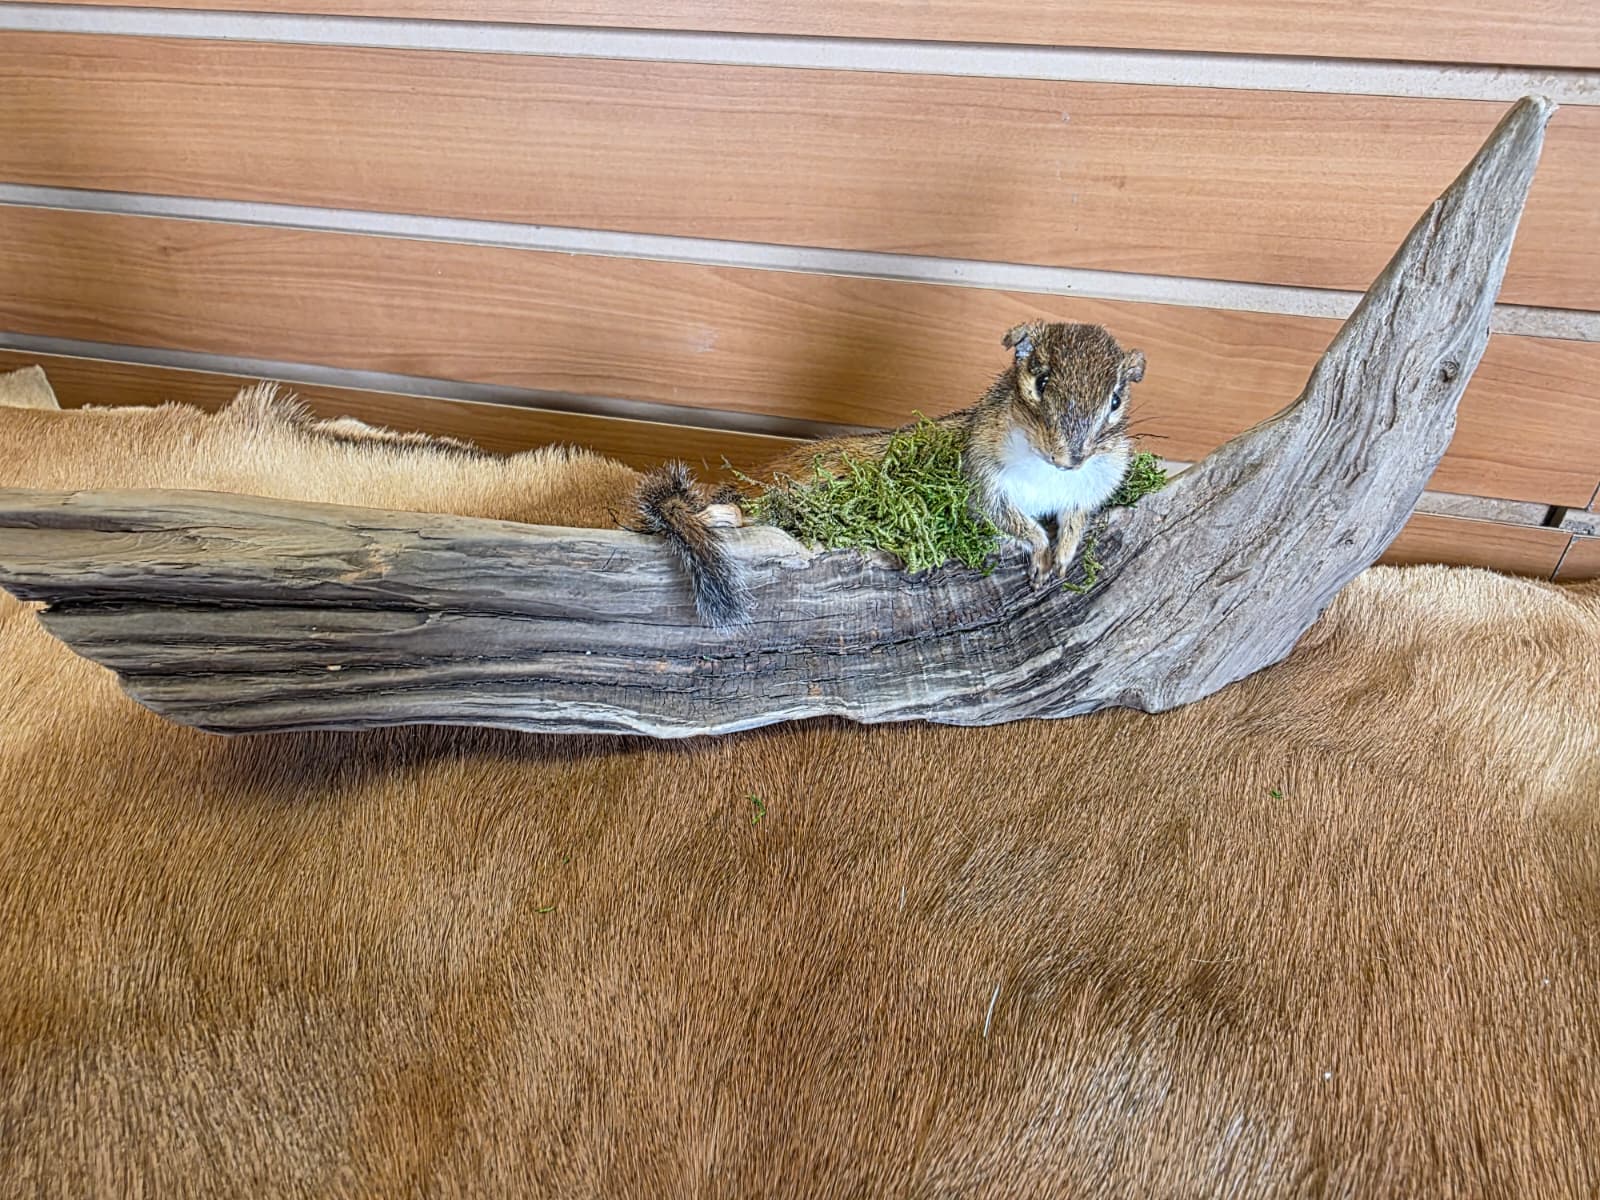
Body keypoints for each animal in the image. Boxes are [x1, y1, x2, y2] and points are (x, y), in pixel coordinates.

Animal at [634, 320, 1146, 626]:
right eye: (1039, 382)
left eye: (1116, 400)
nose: (1070, 459)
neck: (1048, 475)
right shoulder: (984, 480)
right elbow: (1009, 519)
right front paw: (1041, 549)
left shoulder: (1091, 487)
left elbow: (1076, 517)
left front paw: (1064, 551)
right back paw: (722, 514)